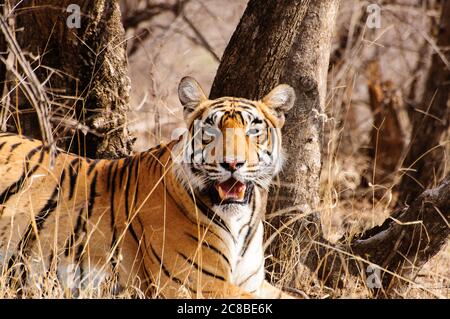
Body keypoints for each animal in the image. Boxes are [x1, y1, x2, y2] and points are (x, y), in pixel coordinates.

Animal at [0, 77, 296, 300]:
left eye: (253, 131)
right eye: (210, 130)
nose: (232, 163)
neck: (239, 220)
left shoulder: (253, 282)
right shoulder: (194, 283)